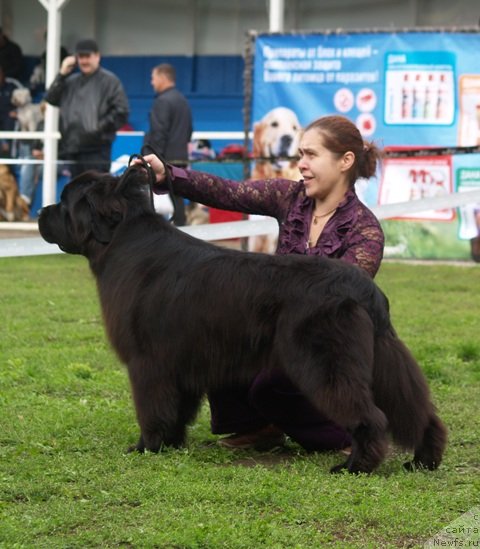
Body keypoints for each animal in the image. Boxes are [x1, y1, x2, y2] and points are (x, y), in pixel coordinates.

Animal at [37, 165, 446, 474]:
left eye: (66, 201)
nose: (41, 213)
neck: (121, 243)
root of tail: (363, 287)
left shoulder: (148, 363)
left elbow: (152, 408)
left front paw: (145, 447)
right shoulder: (180, 363)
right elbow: (176, 410)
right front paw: (170, 445)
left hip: (326, 361)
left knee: (369, 415)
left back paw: (355, 466)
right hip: (382, 359)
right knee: (415, 408)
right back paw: (423, 459)